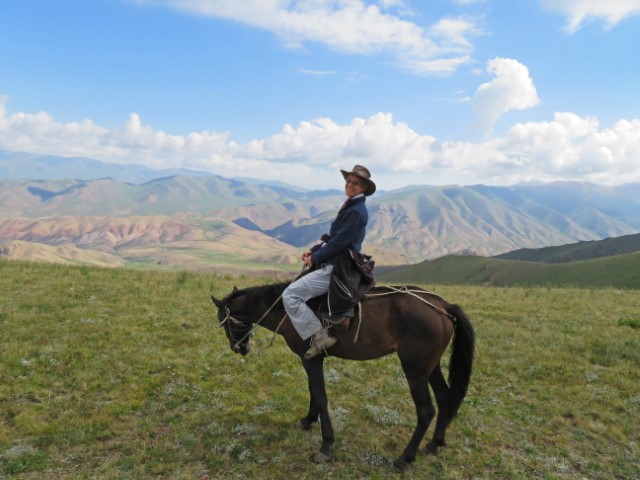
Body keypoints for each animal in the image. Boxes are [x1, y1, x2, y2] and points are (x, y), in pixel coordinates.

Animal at [211, 284, 476, 470]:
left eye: (223, 322)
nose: (238, 348)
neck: (287, 310)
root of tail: (444, 306)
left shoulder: (310, 359)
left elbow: (321, 396)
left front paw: (326, 445)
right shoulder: (311, 358)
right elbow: (313, 392)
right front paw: (308, 420)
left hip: (415, 371)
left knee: (426, 411)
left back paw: (404, 458)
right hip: (430, 367)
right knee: (444, 398)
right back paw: (434, 444)